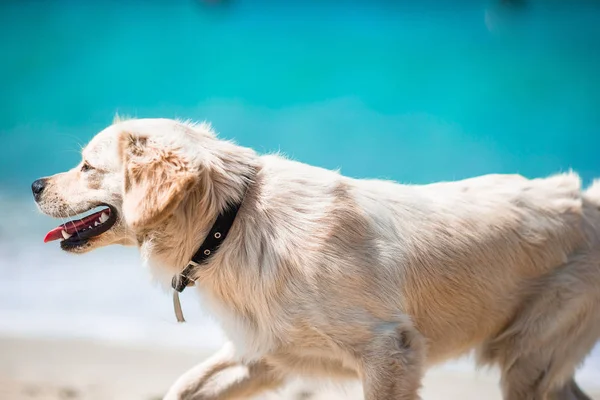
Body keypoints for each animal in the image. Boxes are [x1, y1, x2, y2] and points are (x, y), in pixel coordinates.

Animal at [32, 116, 600, 400]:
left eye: (87, 166)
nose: (35, 185)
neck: (231, 222)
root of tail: (585, 197)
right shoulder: (264, 353)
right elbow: (183, 387)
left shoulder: (389, 350)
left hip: (528, 359)